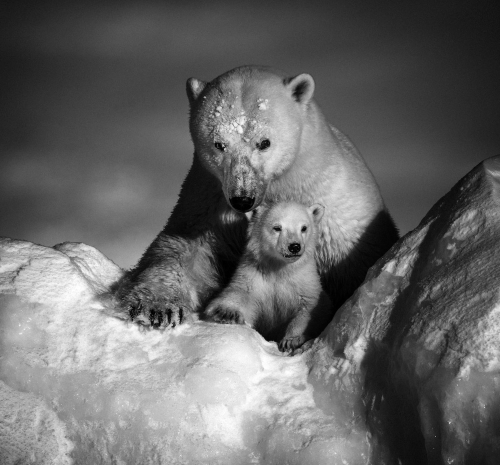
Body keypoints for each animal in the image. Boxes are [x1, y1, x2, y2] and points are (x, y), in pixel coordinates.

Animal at [114, 65, 398, 328]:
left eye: (264, 142)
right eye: (219, 144)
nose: (243, 199)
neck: (282, 182)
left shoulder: (341, 225)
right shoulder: (209, 197)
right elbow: (185, 247)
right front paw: (156, 308)